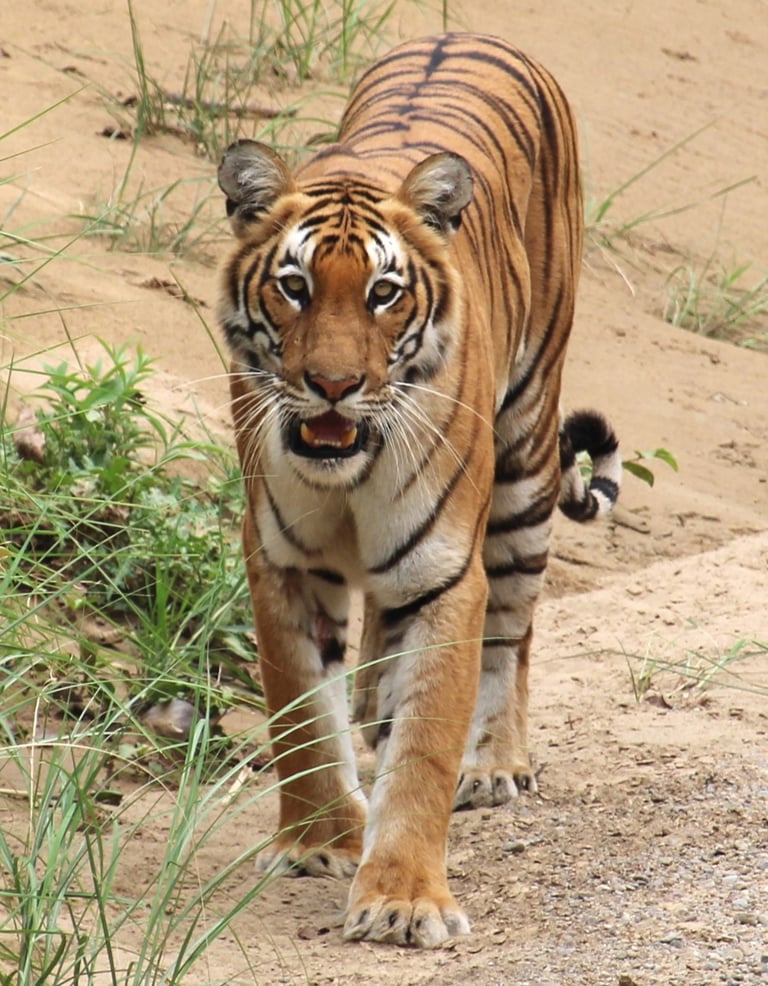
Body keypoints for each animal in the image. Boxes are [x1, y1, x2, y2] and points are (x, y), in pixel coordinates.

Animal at [216, 32, 621, 949]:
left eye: (383, 293)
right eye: (293, 286)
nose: (333, 385)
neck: (347, 471)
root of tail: (472, 35)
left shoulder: (441, 572)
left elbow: (428, 742)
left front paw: (403, 898)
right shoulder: (282, 560)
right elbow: (301, 714)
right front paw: (319, 842)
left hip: (526, 458)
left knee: (513, 630)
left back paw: (494, 763)